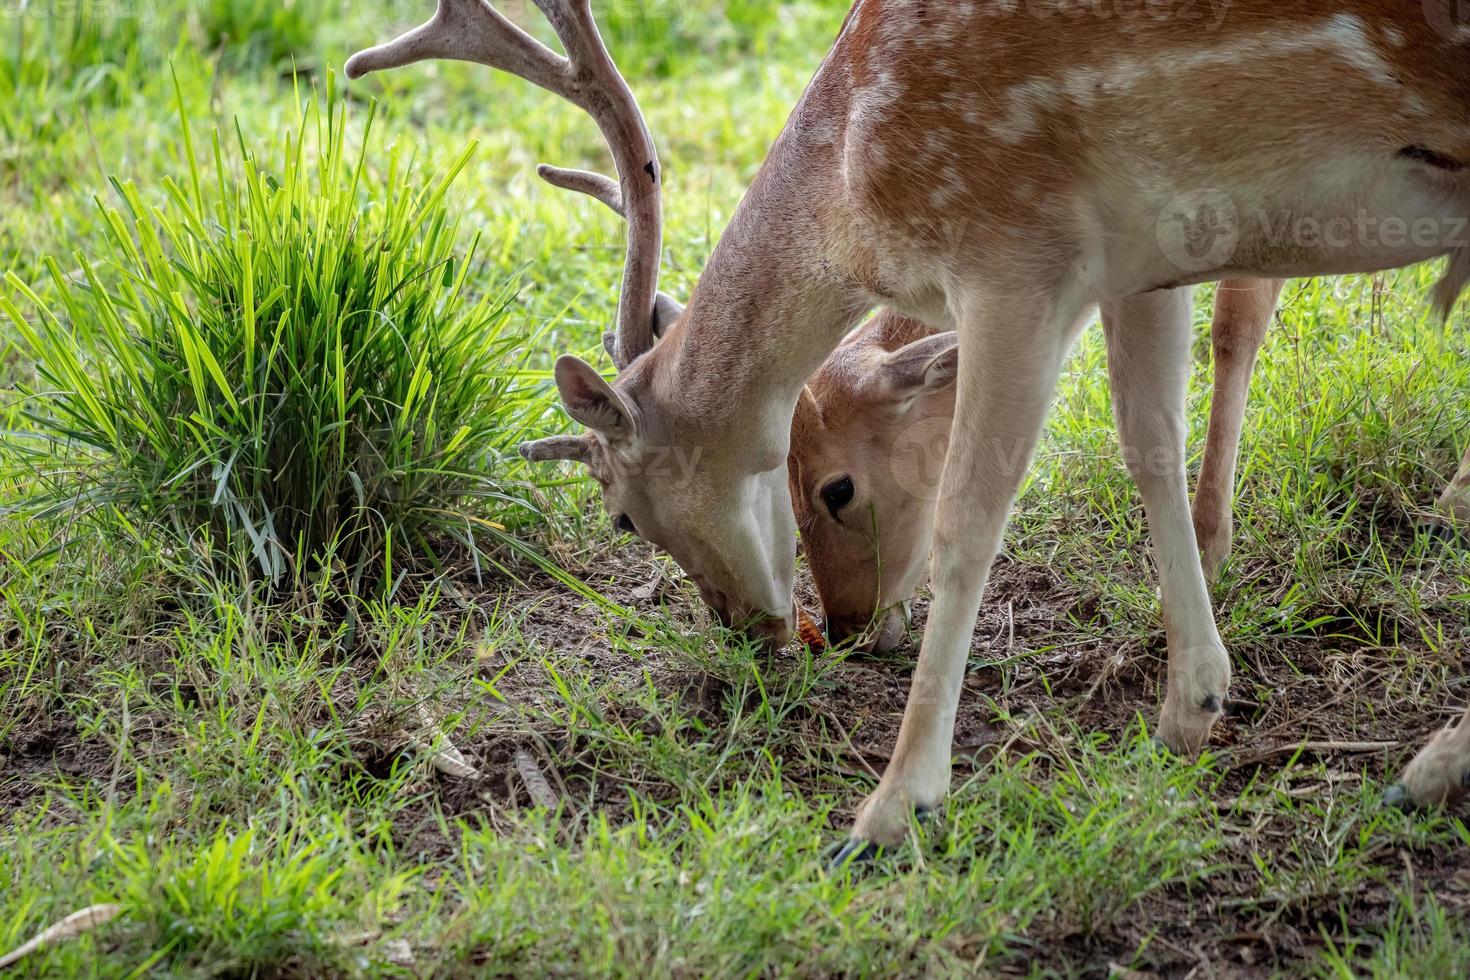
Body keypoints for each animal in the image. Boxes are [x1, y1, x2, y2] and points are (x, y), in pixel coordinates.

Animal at [352, 1, 1470, 858]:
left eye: (622, 516)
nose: (777, 631)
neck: (856, 175)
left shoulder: (1015, 251)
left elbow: (973, 518)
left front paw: (892, 806)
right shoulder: (1147, 256)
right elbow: (1146, 440)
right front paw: (1189, 707)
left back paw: (1425, 769)